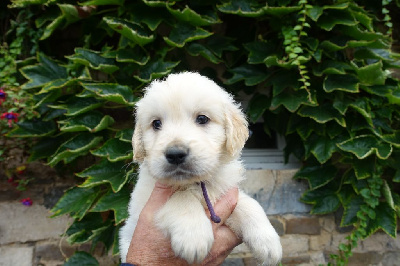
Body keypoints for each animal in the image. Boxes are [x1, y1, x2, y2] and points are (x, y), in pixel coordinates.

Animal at [119, 71, 282, 264]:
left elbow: (248, 203)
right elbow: (181, 197)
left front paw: (268, 242)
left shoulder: (225, 192)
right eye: (156, 123)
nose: (175, 154)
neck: (195, 183)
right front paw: (193, 237)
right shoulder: (142, 207)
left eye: (202, 119)